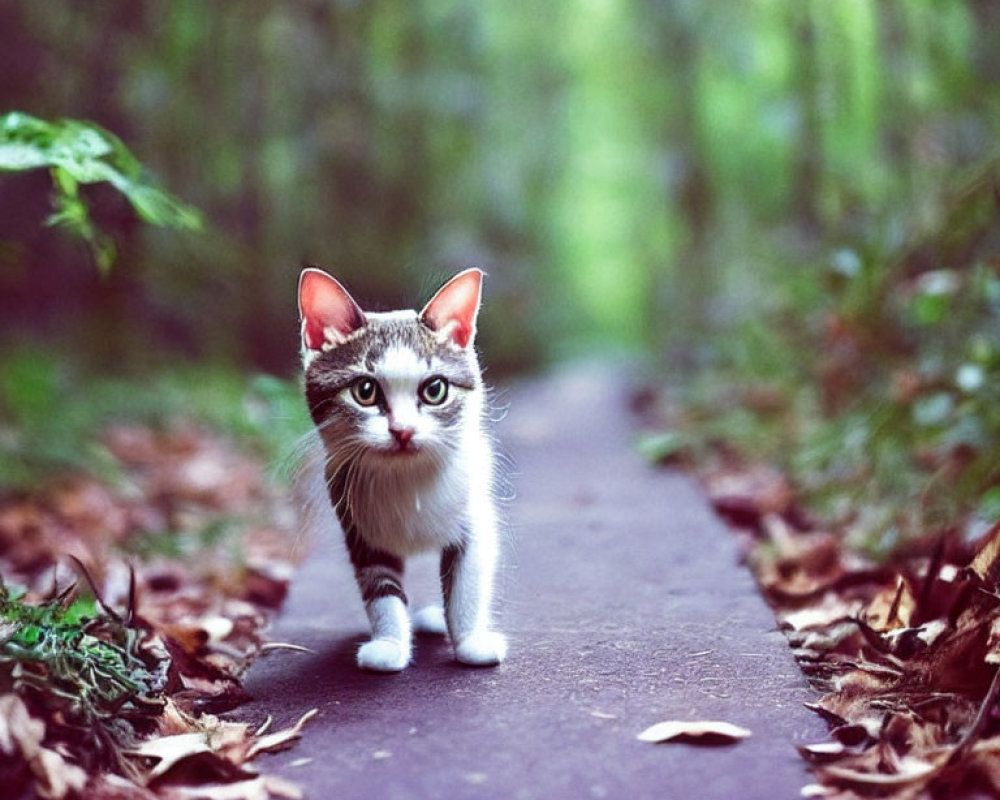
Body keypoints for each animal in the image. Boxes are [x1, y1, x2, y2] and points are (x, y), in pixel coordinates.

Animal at [292, 266, 504, 672]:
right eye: (365, 391)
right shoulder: (357, 525)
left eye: (435, 389)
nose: (402, 430)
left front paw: (470, 641)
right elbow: (381, 588)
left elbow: (466, 581)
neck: (405, 477)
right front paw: (389, 643)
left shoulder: (473, 518)